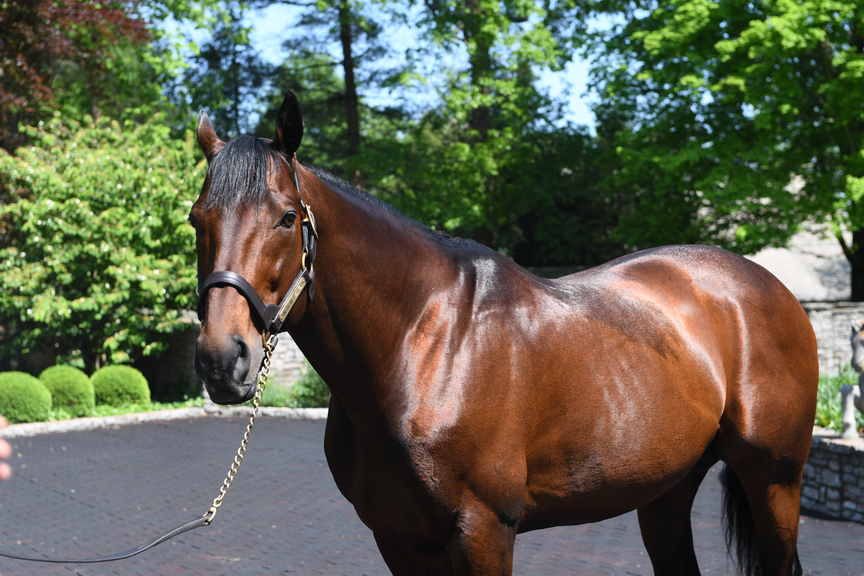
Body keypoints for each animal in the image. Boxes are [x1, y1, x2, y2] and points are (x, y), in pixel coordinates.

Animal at [191, 90, 818, 575]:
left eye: (285, 217)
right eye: (197, 218)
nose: (223, 359)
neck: (424, 346)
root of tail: (771, 288)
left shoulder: (483, 529)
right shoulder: (397, 536)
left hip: (775, 483)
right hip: (665, 492)